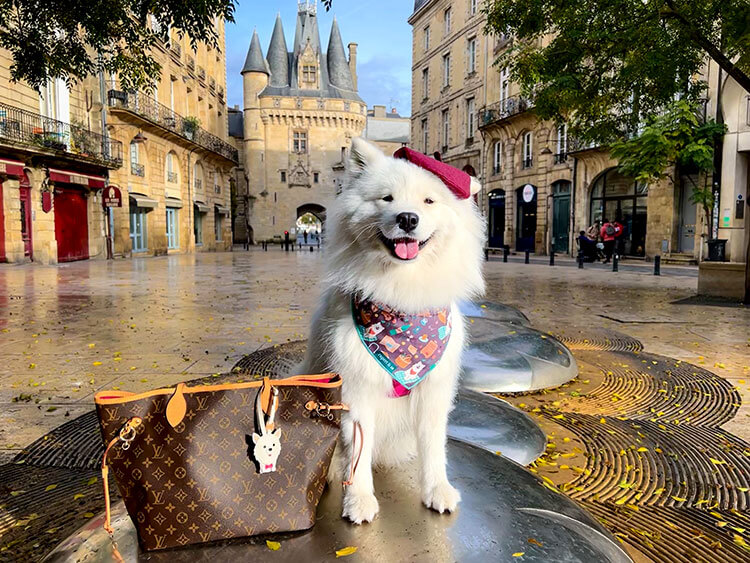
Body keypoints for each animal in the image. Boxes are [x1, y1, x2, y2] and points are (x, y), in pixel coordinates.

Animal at [304, 137, 488, 524]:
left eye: (428, 201)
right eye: (386, 199)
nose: (407, 218)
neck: (402, 294)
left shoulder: (434, 391)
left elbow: (434, 448)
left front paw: (438, 490)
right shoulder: (356, 389)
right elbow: (357, 456)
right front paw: (358, 500)